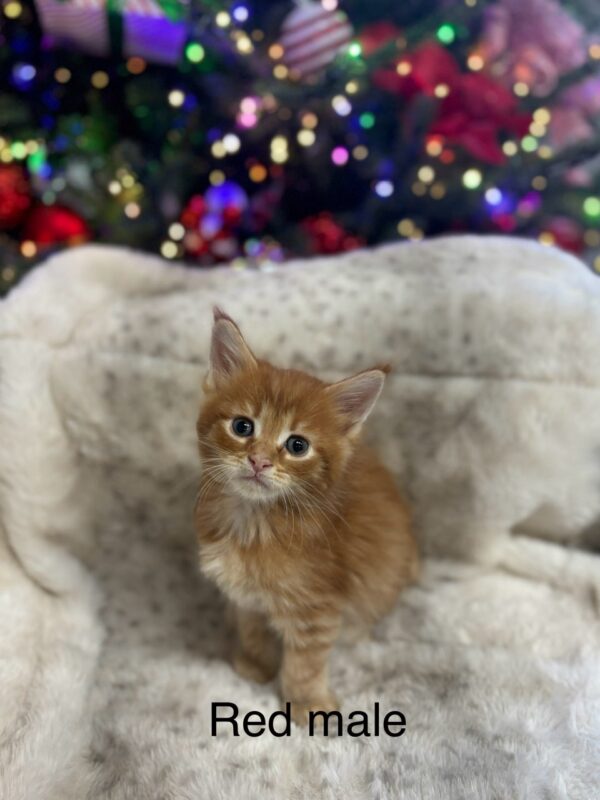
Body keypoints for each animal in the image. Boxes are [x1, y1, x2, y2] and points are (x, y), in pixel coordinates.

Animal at [195, 306, 420, 724]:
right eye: (242, 426)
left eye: (297, 445)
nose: (259, 461)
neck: (253, 522)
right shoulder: (245, 596)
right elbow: (252, 630)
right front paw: (256, 664)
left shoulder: (317, 607)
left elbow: (304, 663)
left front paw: (307, 704)